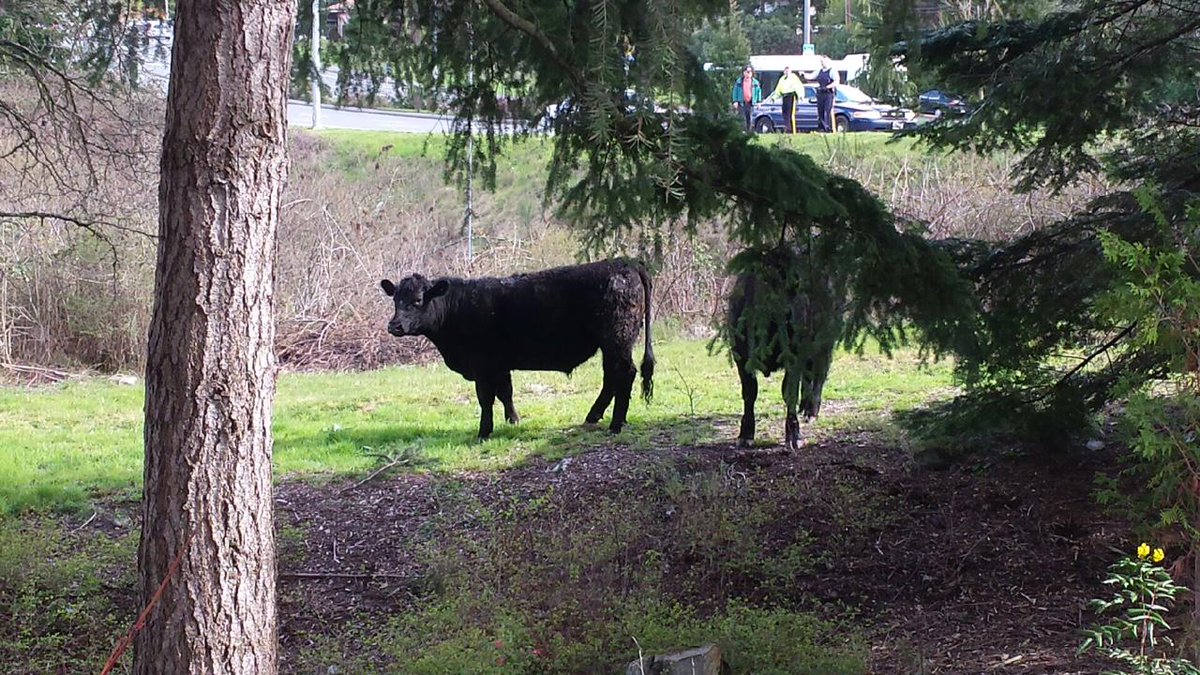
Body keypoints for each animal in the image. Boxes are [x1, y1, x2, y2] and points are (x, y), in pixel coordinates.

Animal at [380, 260, 655, 440]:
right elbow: (506, 393)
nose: (394, 326)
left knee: (624, 374)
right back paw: (595, 416)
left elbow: (485, 398)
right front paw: (513, 420)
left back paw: (616, 424)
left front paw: (484, 432)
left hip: (617, 339)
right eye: (395, 300)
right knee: (612, 377)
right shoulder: (499, 364)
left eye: (417, 300)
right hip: (612, 344)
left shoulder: (482, 365)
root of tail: (625, 263)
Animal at [727, 244, 850, 450]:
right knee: (808, 376)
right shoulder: (741, 357)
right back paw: (804, 406)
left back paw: (811, 411)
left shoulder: (794, 357)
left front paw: (793, 435)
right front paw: (745, 434)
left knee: (819, 375)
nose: (791, 316)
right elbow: (750, 392)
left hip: (825, 342)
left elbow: (789, 393)